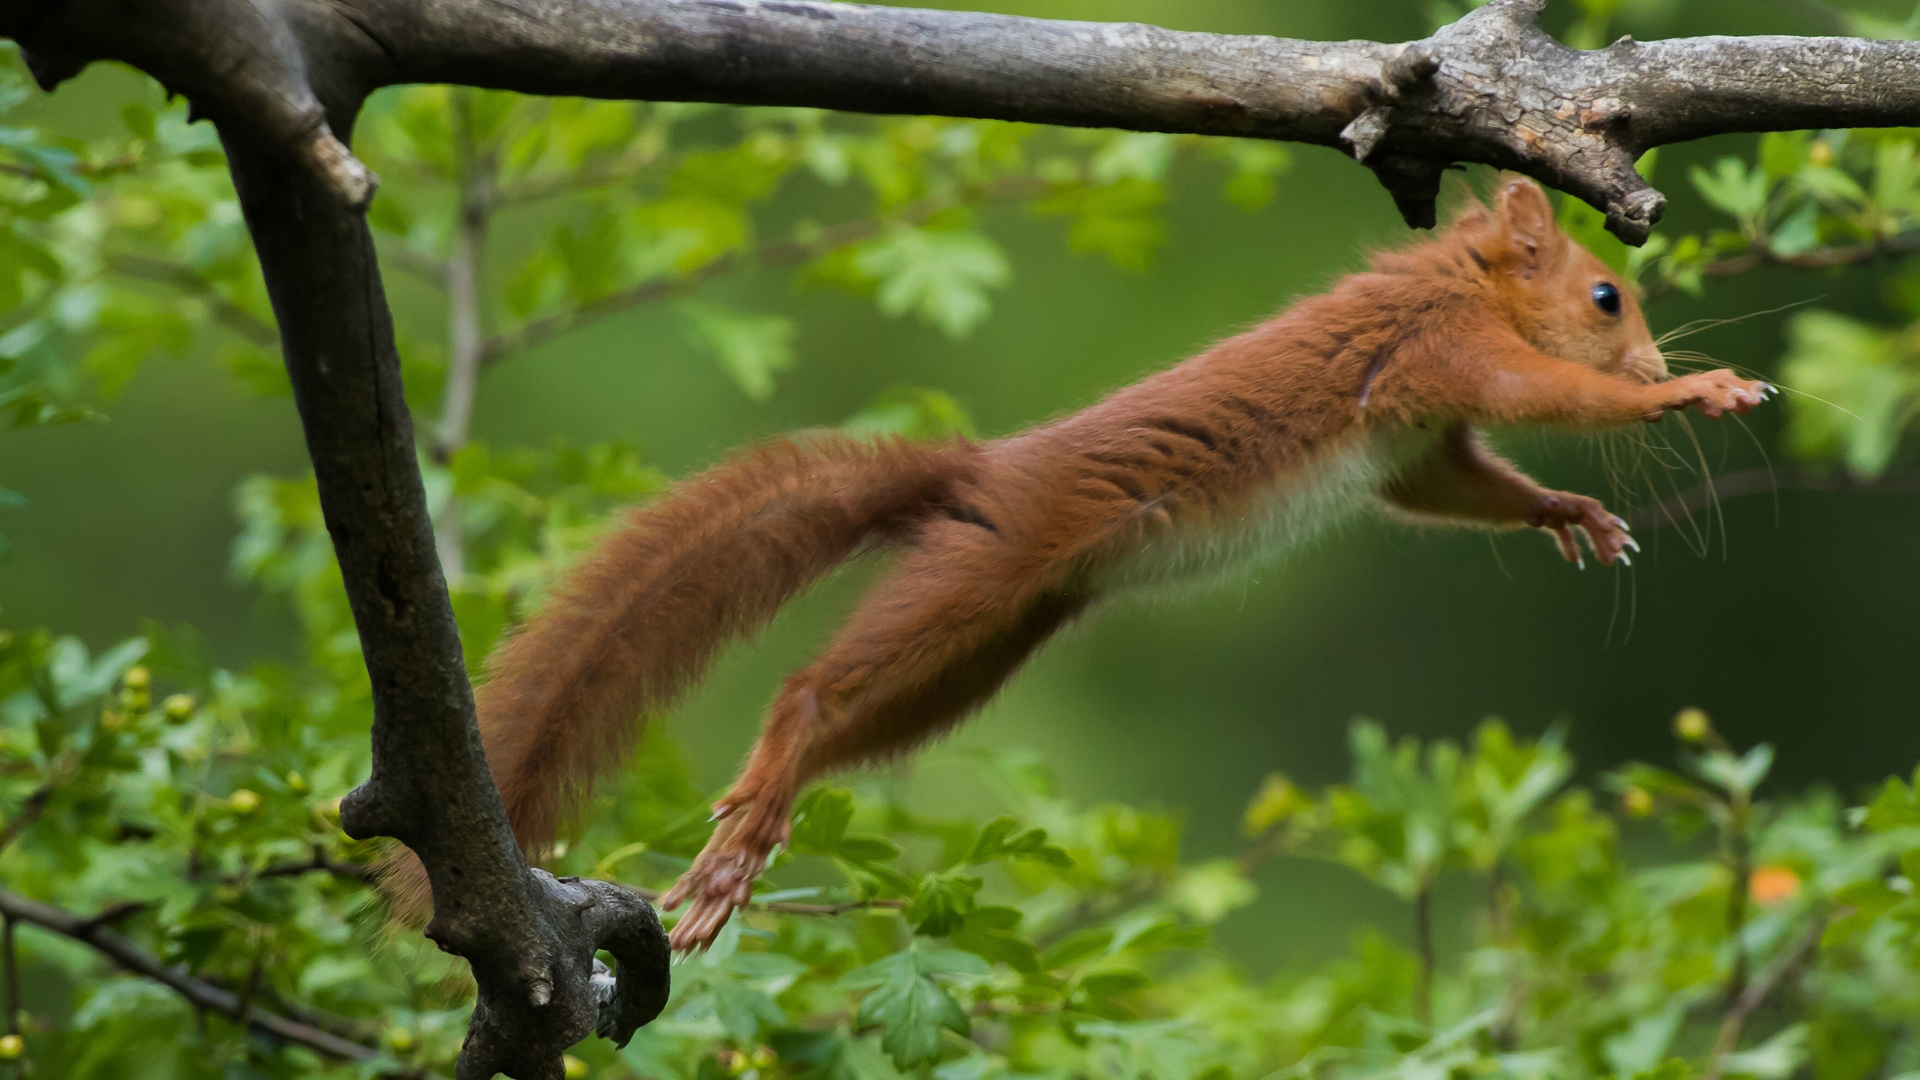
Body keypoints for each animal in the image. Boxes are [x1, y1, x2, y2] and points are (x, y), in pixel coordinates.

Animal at [374, 178, 1766, 949]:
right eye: (1606, 297)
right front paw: (1688, 393)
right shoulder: (1442, 358)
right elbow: (1545, 400)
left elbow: (1460, 491)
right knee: (812, 690)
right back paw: (765, 790)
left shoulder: (1418, 441)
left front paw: (1567, 511)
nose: (1654, 356)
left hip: (991, 645)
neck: (1458, 283)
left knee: (857, 726)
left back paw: (750, 843)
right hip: (977, 584)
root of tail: (974, 477)